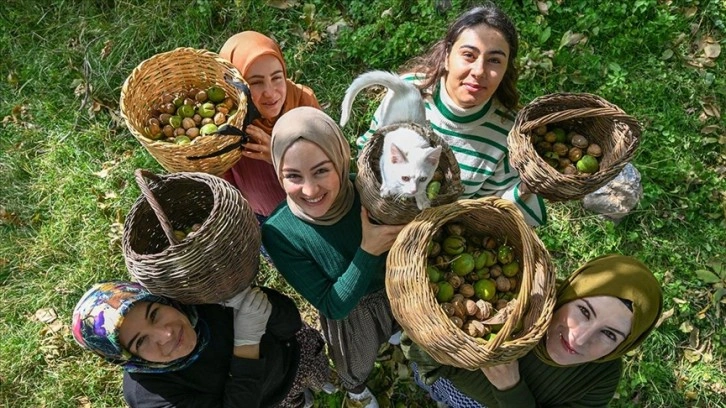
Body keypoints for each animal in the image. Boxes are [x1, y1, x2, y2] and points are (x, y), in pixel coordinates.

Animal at [342, 70, 444, 209]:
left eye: (423, 179)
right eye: (405, 178)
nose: (413, 190)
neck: (410, 144)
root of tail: (404, 86)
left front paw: (421, 198)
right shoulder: (383, 160)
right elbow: (385, 176)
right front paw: (387, 188)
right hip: (382, 116)